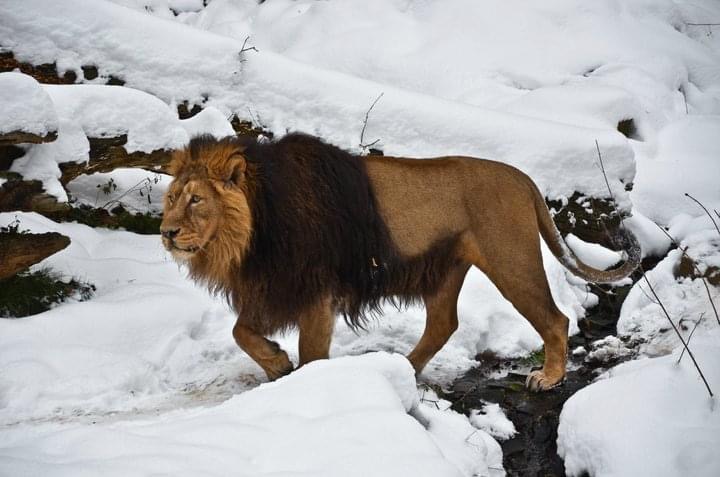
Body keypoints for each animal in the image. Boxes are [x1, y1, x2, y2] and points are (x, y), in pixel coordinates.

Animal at [160, 133, 640, 390]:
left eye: (196, 200)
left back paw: (549, 377)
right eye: (171, 198)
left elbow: (310, 352)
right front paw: (277, 363)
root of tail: (524, 178)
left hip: (512, 262)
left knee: (555, 320)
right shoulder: (273, 286)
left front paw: (304, 381)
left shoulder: (315, 291)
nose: (165, 232)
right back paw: (402, 369)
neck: (254, 233)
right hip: (448, 270)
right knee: (443, 324)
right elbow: (241, 332)